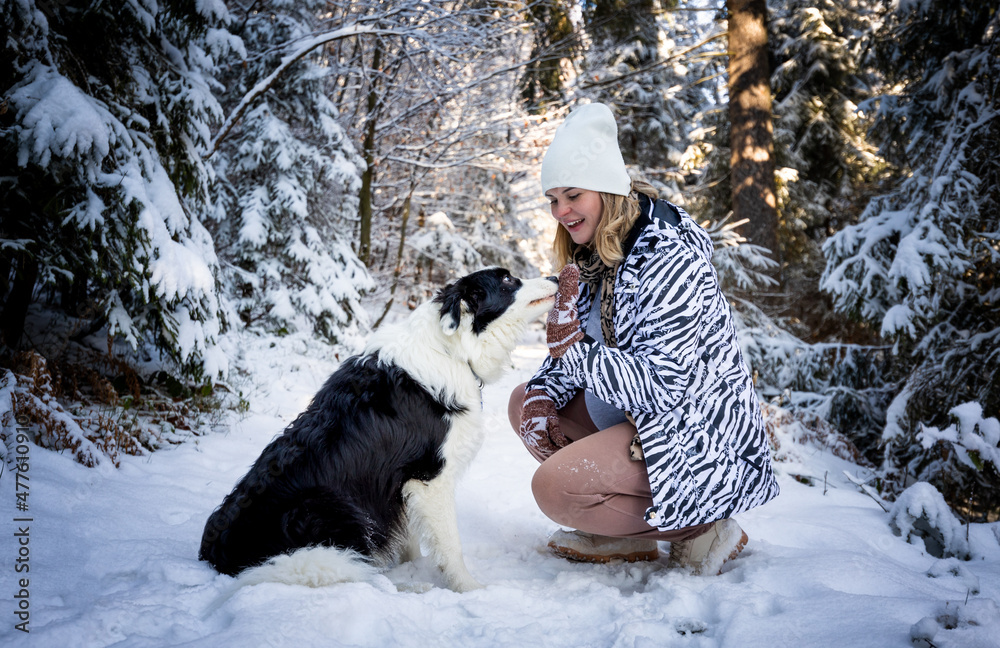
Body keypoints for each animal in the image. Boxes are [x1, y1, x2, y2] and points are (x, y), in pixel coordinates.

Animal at [199, 268, 560, 592]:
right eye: (508, 279)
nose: (556, 276)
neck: (452, 349)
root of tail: (217, 555)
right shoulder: (429, 477)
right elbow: (450, 545)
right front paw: (469, 588)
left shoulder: (400, 483)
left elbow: (409, 535)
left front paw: (415, 566)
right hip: (334, 510)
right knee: (350, 571)